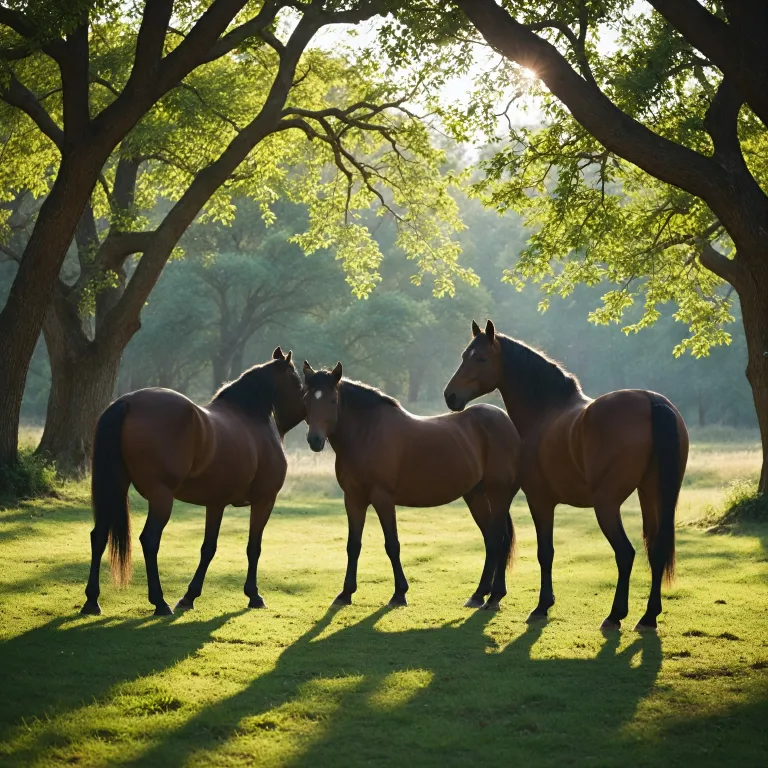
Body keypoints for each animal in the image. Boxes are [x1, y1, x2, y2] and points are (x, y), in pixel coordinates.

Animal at [81, 347, 306, 617]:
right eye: (297, 382)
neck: (251, 417)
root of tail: (127, 403)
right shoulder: (264, 501)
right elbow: (253, 547)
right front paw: (254, 595)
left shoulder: (216, 504)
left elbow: (208, 548)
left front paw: (190, 597)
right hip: (161, 498)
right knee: (149, 540)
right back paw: (160, 602)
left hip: (115, 489)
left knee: (99, 536)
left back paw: (92, 601)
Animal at [302, 360, 521, 610]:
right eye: (307, 399)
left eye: (332, 400)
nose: (315, 440)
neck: (367, 433)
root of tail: (507, 422)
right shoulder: (353, 499)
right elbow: (353, 545)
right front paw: (346, 593)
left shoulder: (383, 499)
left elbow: (392, 545)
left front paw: (399, 593)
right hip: (476, 496)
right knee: (492, 540)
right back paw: (479, 595)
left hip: (498, 495)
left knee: (500, 540)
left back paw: (495, 597)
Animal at [444, 320, 689, 632]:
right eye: (465, 355)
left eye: (482, 358)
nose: (450, 396)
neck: (546, 411)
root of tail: (652, 402)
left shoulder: (540, 501)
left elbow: (544, 552)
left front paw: (541, 606)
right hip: (652, 496)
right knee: (656, 550)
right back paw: (648, 617)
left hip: (607, 505)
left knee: (625, 553)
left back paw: (614, 615)